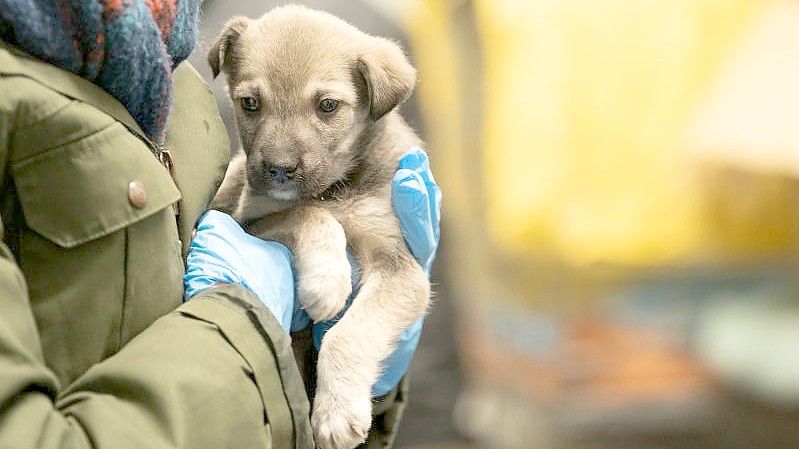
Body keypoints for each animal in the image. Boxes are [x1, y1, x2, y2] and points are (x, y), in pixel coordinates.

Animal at [208, 6, 432, 448]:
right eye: (250, 103)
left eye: (328, 105)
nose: (279, 170)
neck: (333, 191)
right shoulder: (250, 218)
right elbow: (308, 214)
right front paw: (326, 282)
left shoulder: (400, 266)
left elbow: (349, 333)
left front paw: (336, 413)